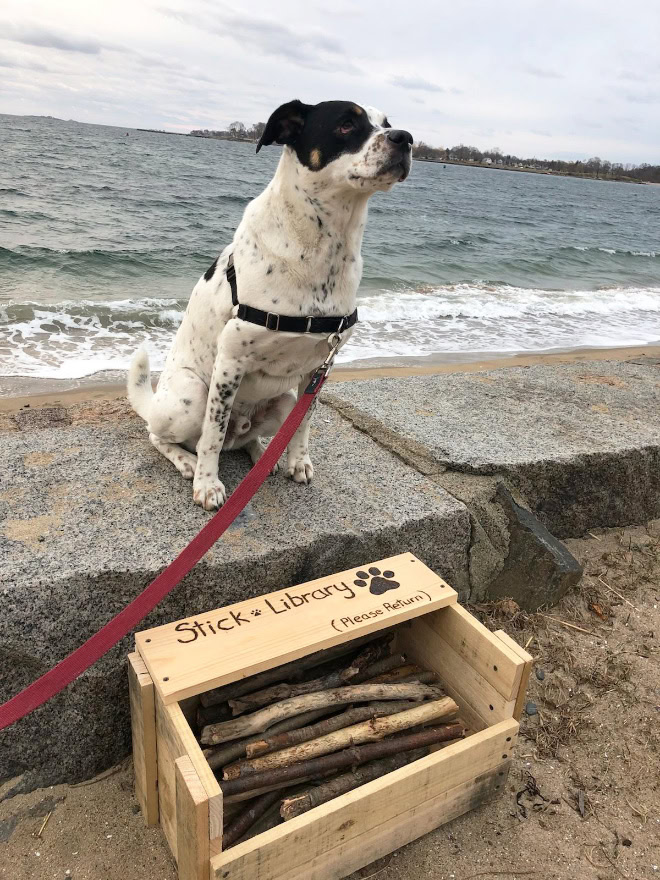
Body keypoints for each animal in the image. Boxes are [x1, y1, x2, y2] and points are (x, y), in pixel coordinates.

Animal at [126, 99, 410, 508]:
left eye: (386, 123)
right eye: (345, 124)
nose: (405, 138)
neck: (325, 248)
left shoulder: (319, 368)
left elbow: (303, 425)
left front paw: (297, 461)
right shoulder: (230, 360)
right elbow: (212, 435)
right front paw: (207, 484)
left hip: (283, 400)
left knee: (248, 438)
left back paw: (263, 455)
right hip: (190, 395)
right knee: (162, 435)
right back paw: (186, 462)